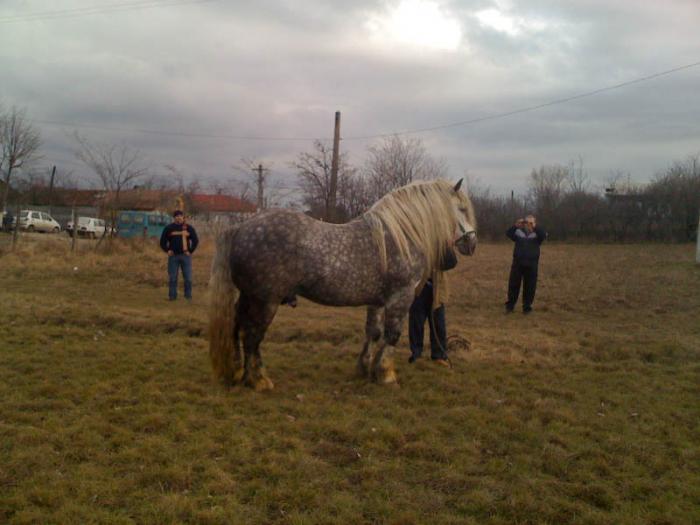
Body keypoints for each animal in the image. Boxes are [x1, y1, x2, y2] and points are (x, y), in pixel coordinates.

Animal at [208, 179, 476, 388]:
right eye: (462, 208)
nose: (471, 243)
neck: (398, 237)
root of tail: (240, 227)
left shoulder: (378, 301)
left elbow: (373, 332)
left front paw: (365, 369)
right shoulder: (401, 297)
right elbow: (392, 335)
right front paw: (386, 375)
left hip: (248, 296)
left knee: (236, 326)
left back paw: (238, 372)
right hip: (265, 301)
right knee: (252, 335)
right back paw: (259, 380)